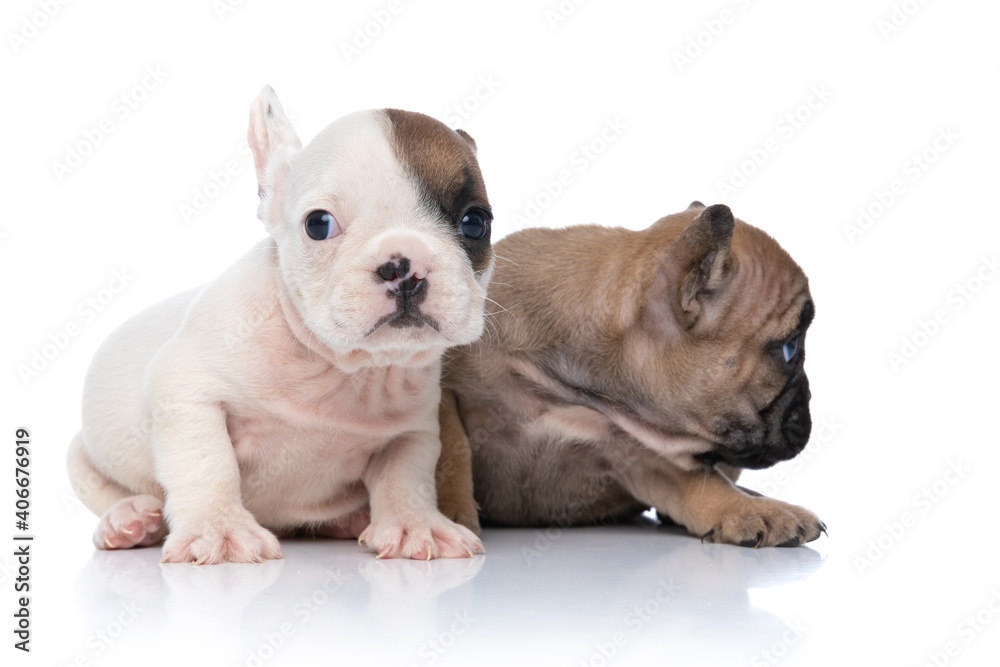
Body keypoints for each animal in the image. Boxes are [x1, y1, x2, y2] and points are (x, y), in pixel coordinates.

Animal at [66, 85, 496, 564]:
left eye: (475, 223)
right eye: (319, 224)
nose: (404, 266)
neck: (342, 368)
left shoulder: (413, 431)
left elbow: (405, 476)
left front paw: (415, 524)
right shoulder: (186, 393)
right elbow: (207, 462)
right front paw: (218, 528)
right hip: (81, 454)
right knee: (101, 487)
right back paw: (127, 520)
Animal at [442, 202, 824, 548]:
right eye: (790, 348)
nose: (807, 413)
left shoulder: (641, 455)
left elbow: (699, 481)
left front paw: (753, 510)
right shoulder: (447, 393)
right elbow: (452, 451)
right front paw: (451, 521)